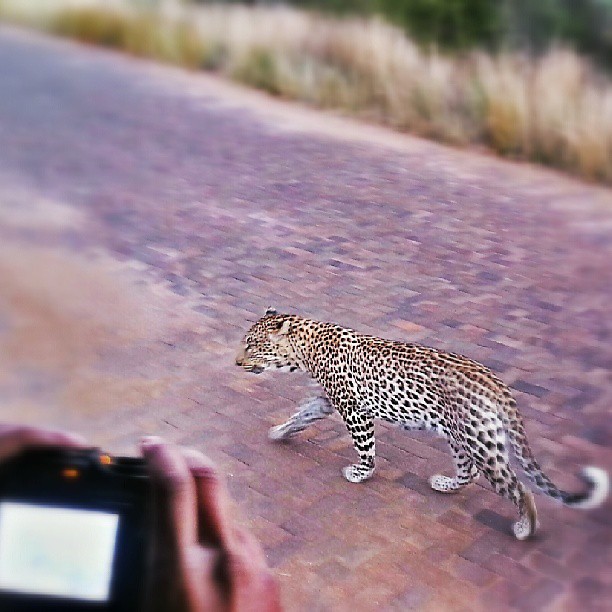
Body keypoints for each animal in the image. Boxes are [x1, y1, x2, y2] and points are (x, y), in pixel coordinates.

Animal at [234, 310, 608, 540]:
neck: (306, 350)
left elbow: (365, 447)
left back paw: (524, 529)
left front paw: (361, 473)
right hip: (460, 437)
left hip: (480, 441)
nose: (236, 362)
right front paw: (279, 432)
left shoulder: (354, 411)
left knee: (517, 486)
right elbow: (302, 415)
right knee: (469, 472)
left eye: (253, 345)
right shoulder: (326, 401)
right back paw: (444, 484)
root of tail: (494, 382)